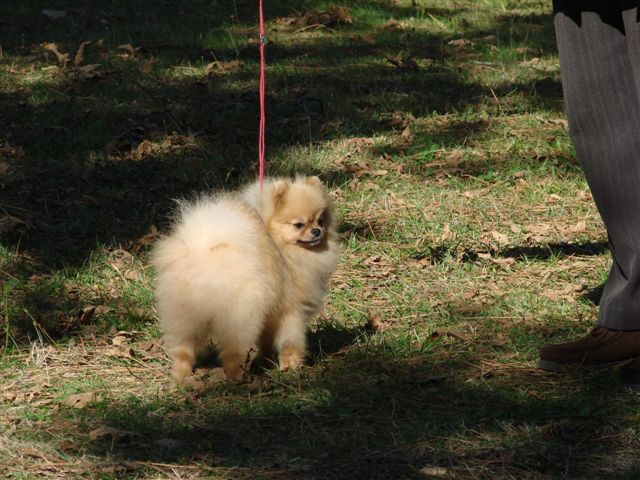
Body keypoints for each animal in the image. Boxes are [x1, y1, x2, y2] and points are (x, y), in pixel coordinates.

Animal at [152, 175, 340, 382]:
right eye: (298, 225)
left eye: (321, 220)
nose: (317, 231)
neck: (279, 245)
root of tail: (201, 255)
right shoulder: (291, 311)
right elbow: (291, 342)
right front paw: (291, 366)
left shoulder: (270, 317)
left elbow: (266, 341)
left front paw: (265, 361)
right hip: (240, 317)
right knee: (232, 352)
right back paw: (237, 377)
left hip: (183, 314)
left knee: (183, 349)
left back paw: (181, 377)